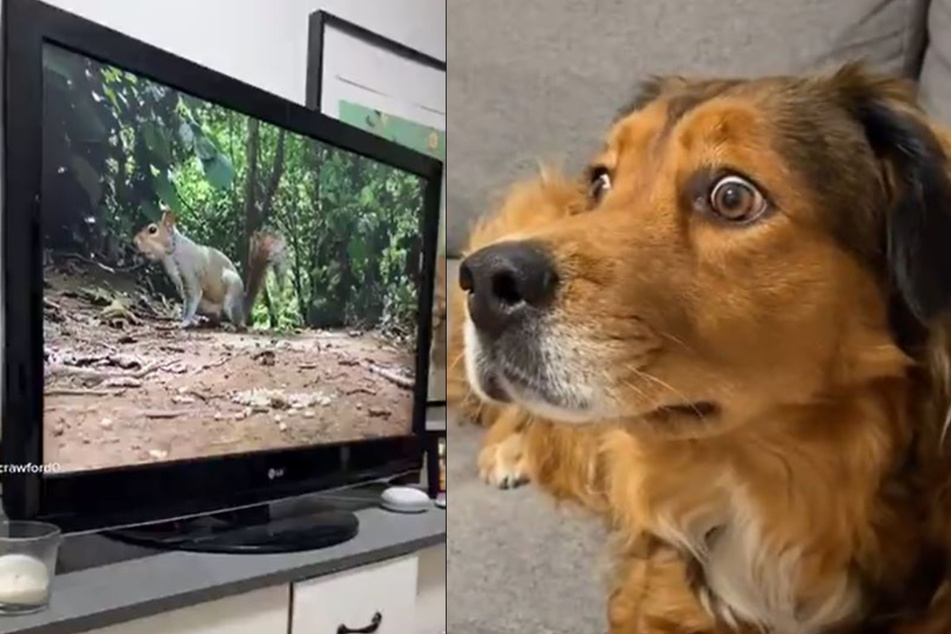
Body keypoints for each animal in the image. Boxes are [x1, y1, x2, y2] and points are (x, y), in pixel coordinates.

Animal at [136, 207, 286, 326]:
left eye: (152, 230)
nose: (135, 241)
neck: (172, 251)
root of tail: (242, 308)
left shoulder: (189, 272)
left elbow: (192, 298)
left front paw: (184, 322)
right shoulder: (179, 282)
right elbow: (187, 302)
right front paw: (186, 319)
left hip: (231, 294)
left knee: (240, 323)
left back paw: (231, 325)